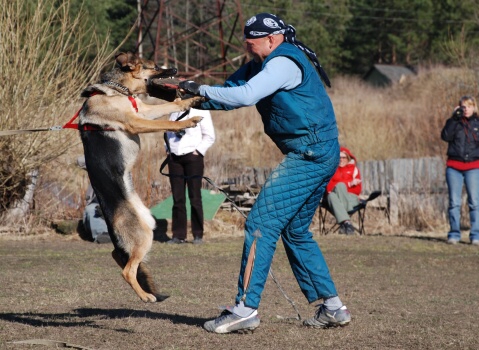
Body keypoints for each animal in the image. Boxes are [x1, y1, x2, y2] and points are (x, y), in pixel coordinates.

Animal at [79, 52, 202, 300]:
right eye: (154, 67)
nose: (176, 68)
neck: (118, 90)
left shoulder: (143, 111)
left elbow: (171, 106)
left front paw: (191, 101)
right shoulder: (135, 122)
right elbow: (165, 122)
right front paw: (187, 121)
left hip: (147, 229)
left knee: (122, 258)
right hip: (144, 235)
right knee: (127, 271)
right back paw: (146, 297)